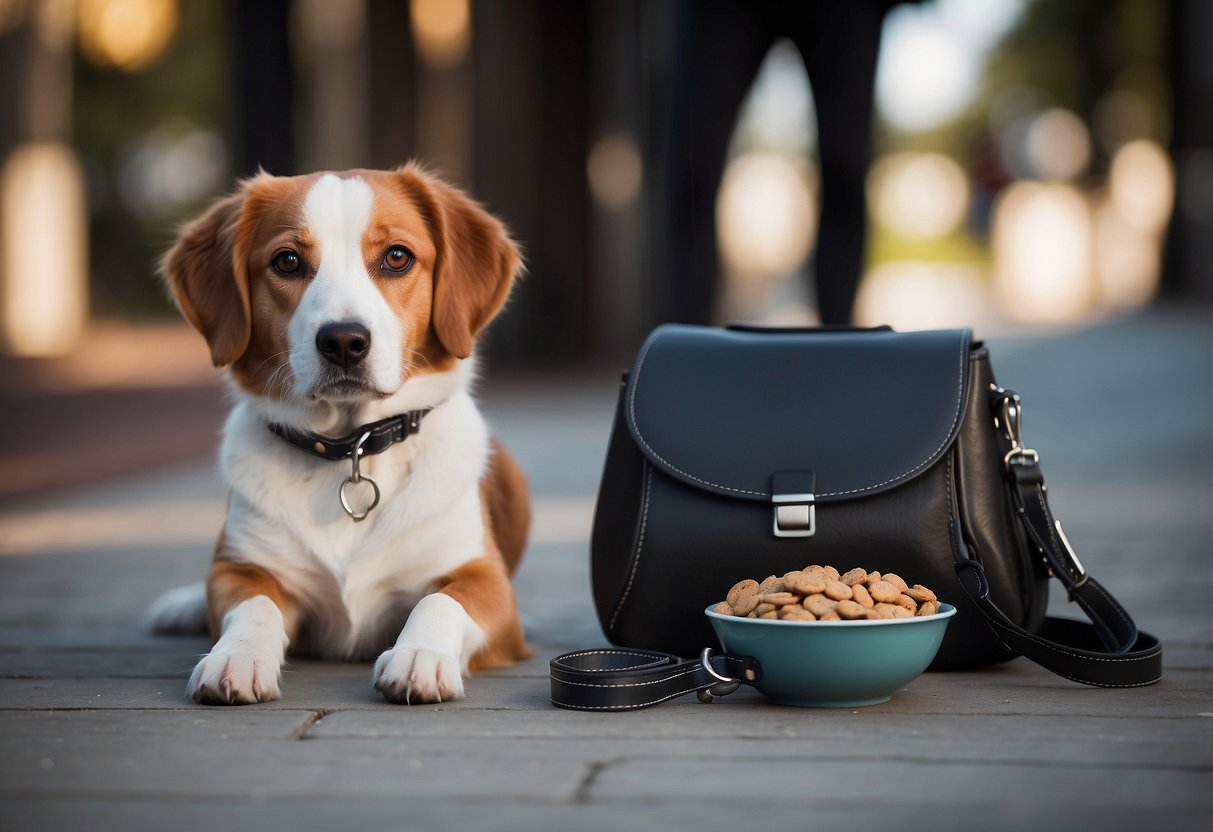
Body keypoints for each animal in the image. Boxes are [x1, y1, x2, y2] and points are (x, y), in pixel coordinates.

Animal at [145, 166, 531, 708]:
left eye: (397, 256)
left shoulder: (485, 580)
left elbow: (439, 600)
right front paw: (237, 657)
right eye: (287, 261)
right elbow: (255, 604)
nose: (344, 341)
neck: (353, 448)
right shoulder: (240, 570)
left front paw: (421, 655)